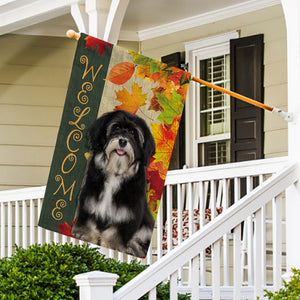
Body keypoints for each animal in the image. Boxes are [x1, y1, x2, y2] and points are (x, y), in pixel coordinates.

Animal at [72, 109, 156, 256]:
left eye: (133, 133)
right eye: (116, 127)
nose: (122, 141)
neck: (115, 172)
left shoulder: (127, 214)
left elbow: (115, 234)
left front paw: (115, 246)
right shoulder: (89, 202)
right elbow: (89, 225)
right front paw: (83, 235)